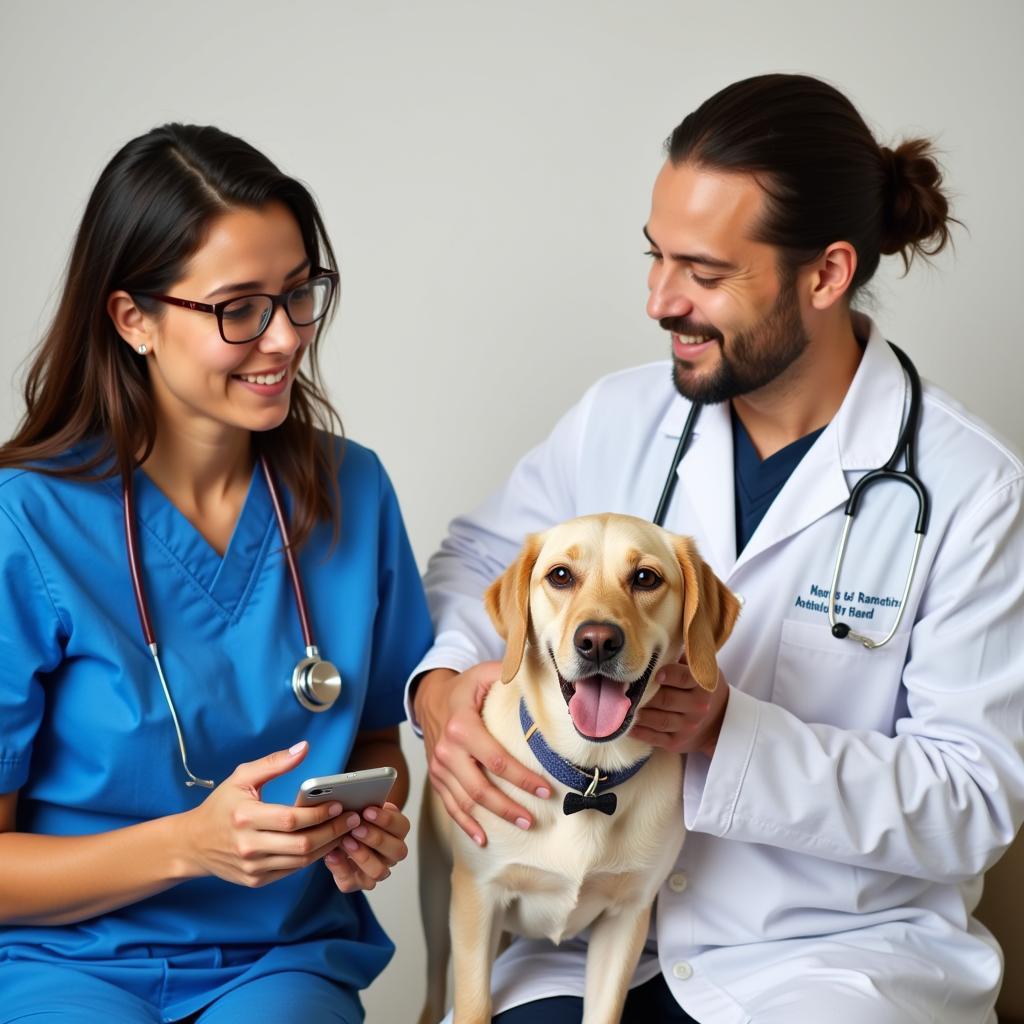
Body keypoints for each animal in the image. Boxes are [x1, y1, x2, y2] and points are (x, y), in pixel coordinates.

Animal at [415, 512, 737, 1024]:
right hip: (435, 898)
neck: (589, 778)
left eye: (645, 578)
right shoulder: (477, 901)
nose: (598, 641)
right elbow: (474, 1006)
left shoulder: (626, 917)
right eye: (561, 575)